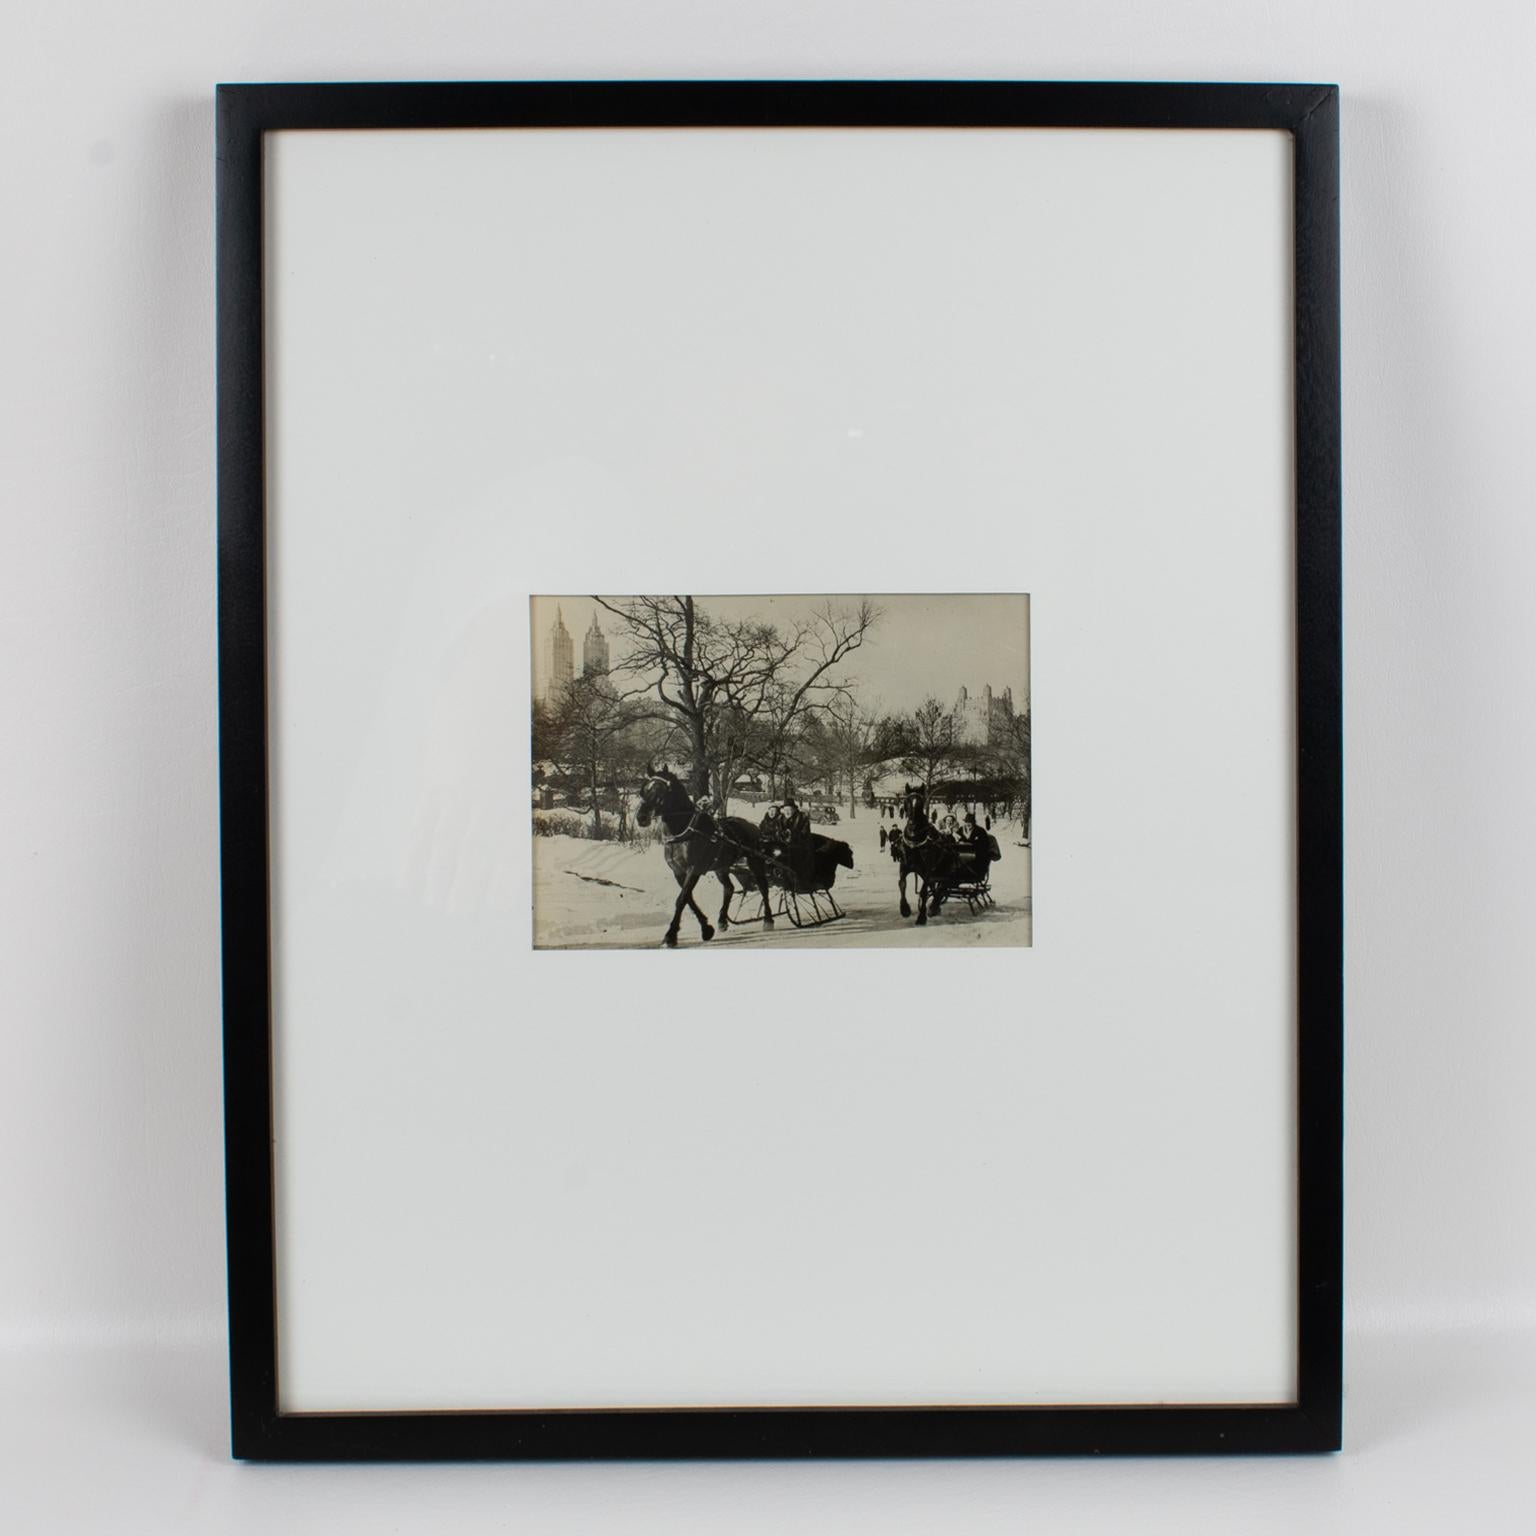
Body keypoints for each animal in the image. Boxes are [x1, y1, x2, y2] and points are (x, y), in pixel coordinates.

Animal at [632, 761, 774, 940]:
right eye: (643, 789)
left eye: (661, 790)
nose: (641, 817)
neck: (685, 831)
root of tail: (752, 826)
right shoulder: (678, 871)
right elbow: (688, 899)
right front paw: (706, 928)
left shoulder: (695, 869)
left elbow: (682, 899)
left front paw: (671, 934)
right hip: (721, 867)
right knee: (729, 888)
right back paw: (722, 920)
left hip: (755, 861)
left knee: (763, 887)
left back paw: (768, 920)